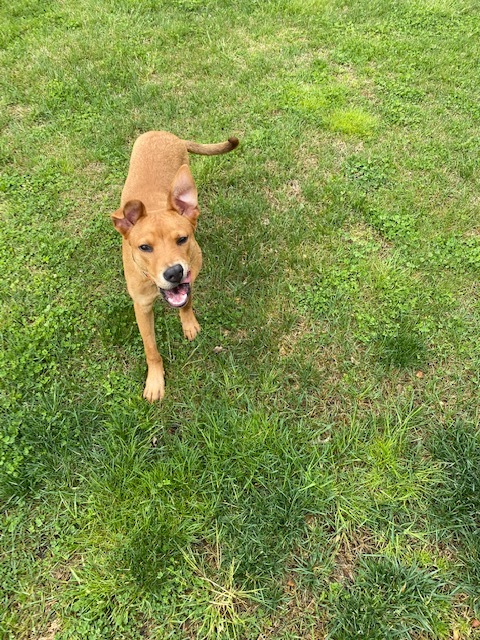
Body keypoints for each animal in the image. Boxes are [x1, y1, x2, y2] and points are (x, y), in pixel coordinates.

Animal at [112, 129, 240, 400]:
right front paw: (155, 381)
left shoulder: (191, 278)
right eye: (144, 247)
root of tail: (163, 132)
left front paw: (189, 324)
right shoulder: (141, 307)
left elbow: (187, 303)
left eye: (182, 239)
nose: (174, 273)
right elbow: (151, 349)